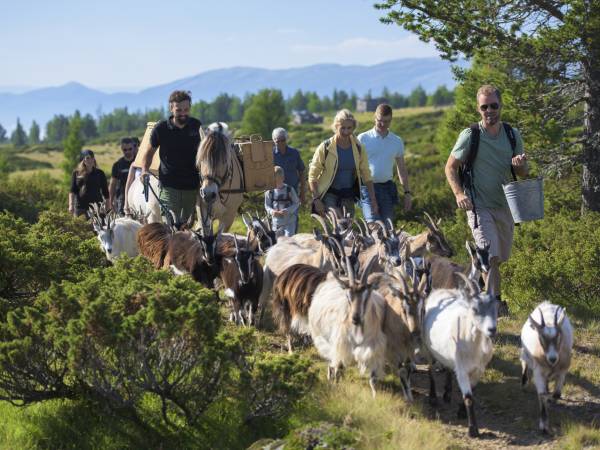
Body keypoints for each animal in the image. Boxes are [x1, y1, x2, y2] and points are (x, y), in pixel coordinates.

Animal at [308, 255, 386, 400]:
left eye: (367, 295)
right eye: (348, 296)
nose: (355, 318)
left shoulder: (372, 348)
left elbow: (373, 378)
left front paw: (375, 397)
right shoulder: (342, 345)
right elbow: (338, 369)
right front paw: (336, 388)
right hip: (324, 338)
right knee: (332, 363)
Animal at [424, 272, 500, 438]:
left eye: (496, 308)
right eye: (475, 309)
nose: (492, 329)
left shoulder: (478, 370)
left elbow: (471, 393)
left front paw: (461, 411)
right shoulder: (463, 370)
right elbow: (469, 398)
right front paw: (473, 430)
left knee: (447, 368)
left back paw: (447, 393)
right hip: (428, 348)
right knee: (430, 369)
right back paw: (433, 397)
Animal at [516, 300, 576, 434]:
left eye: (558, 336)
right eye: (541, 337)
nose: (553, 358)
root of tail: (546, 303)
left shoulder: (563, 369)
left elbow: (557, 393)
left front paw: (553, 398)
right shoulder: (539, 371)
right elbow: (542, 394)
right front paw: (543, 425)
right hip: (526, 353)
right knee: (524, 363)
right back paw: (524, 384)